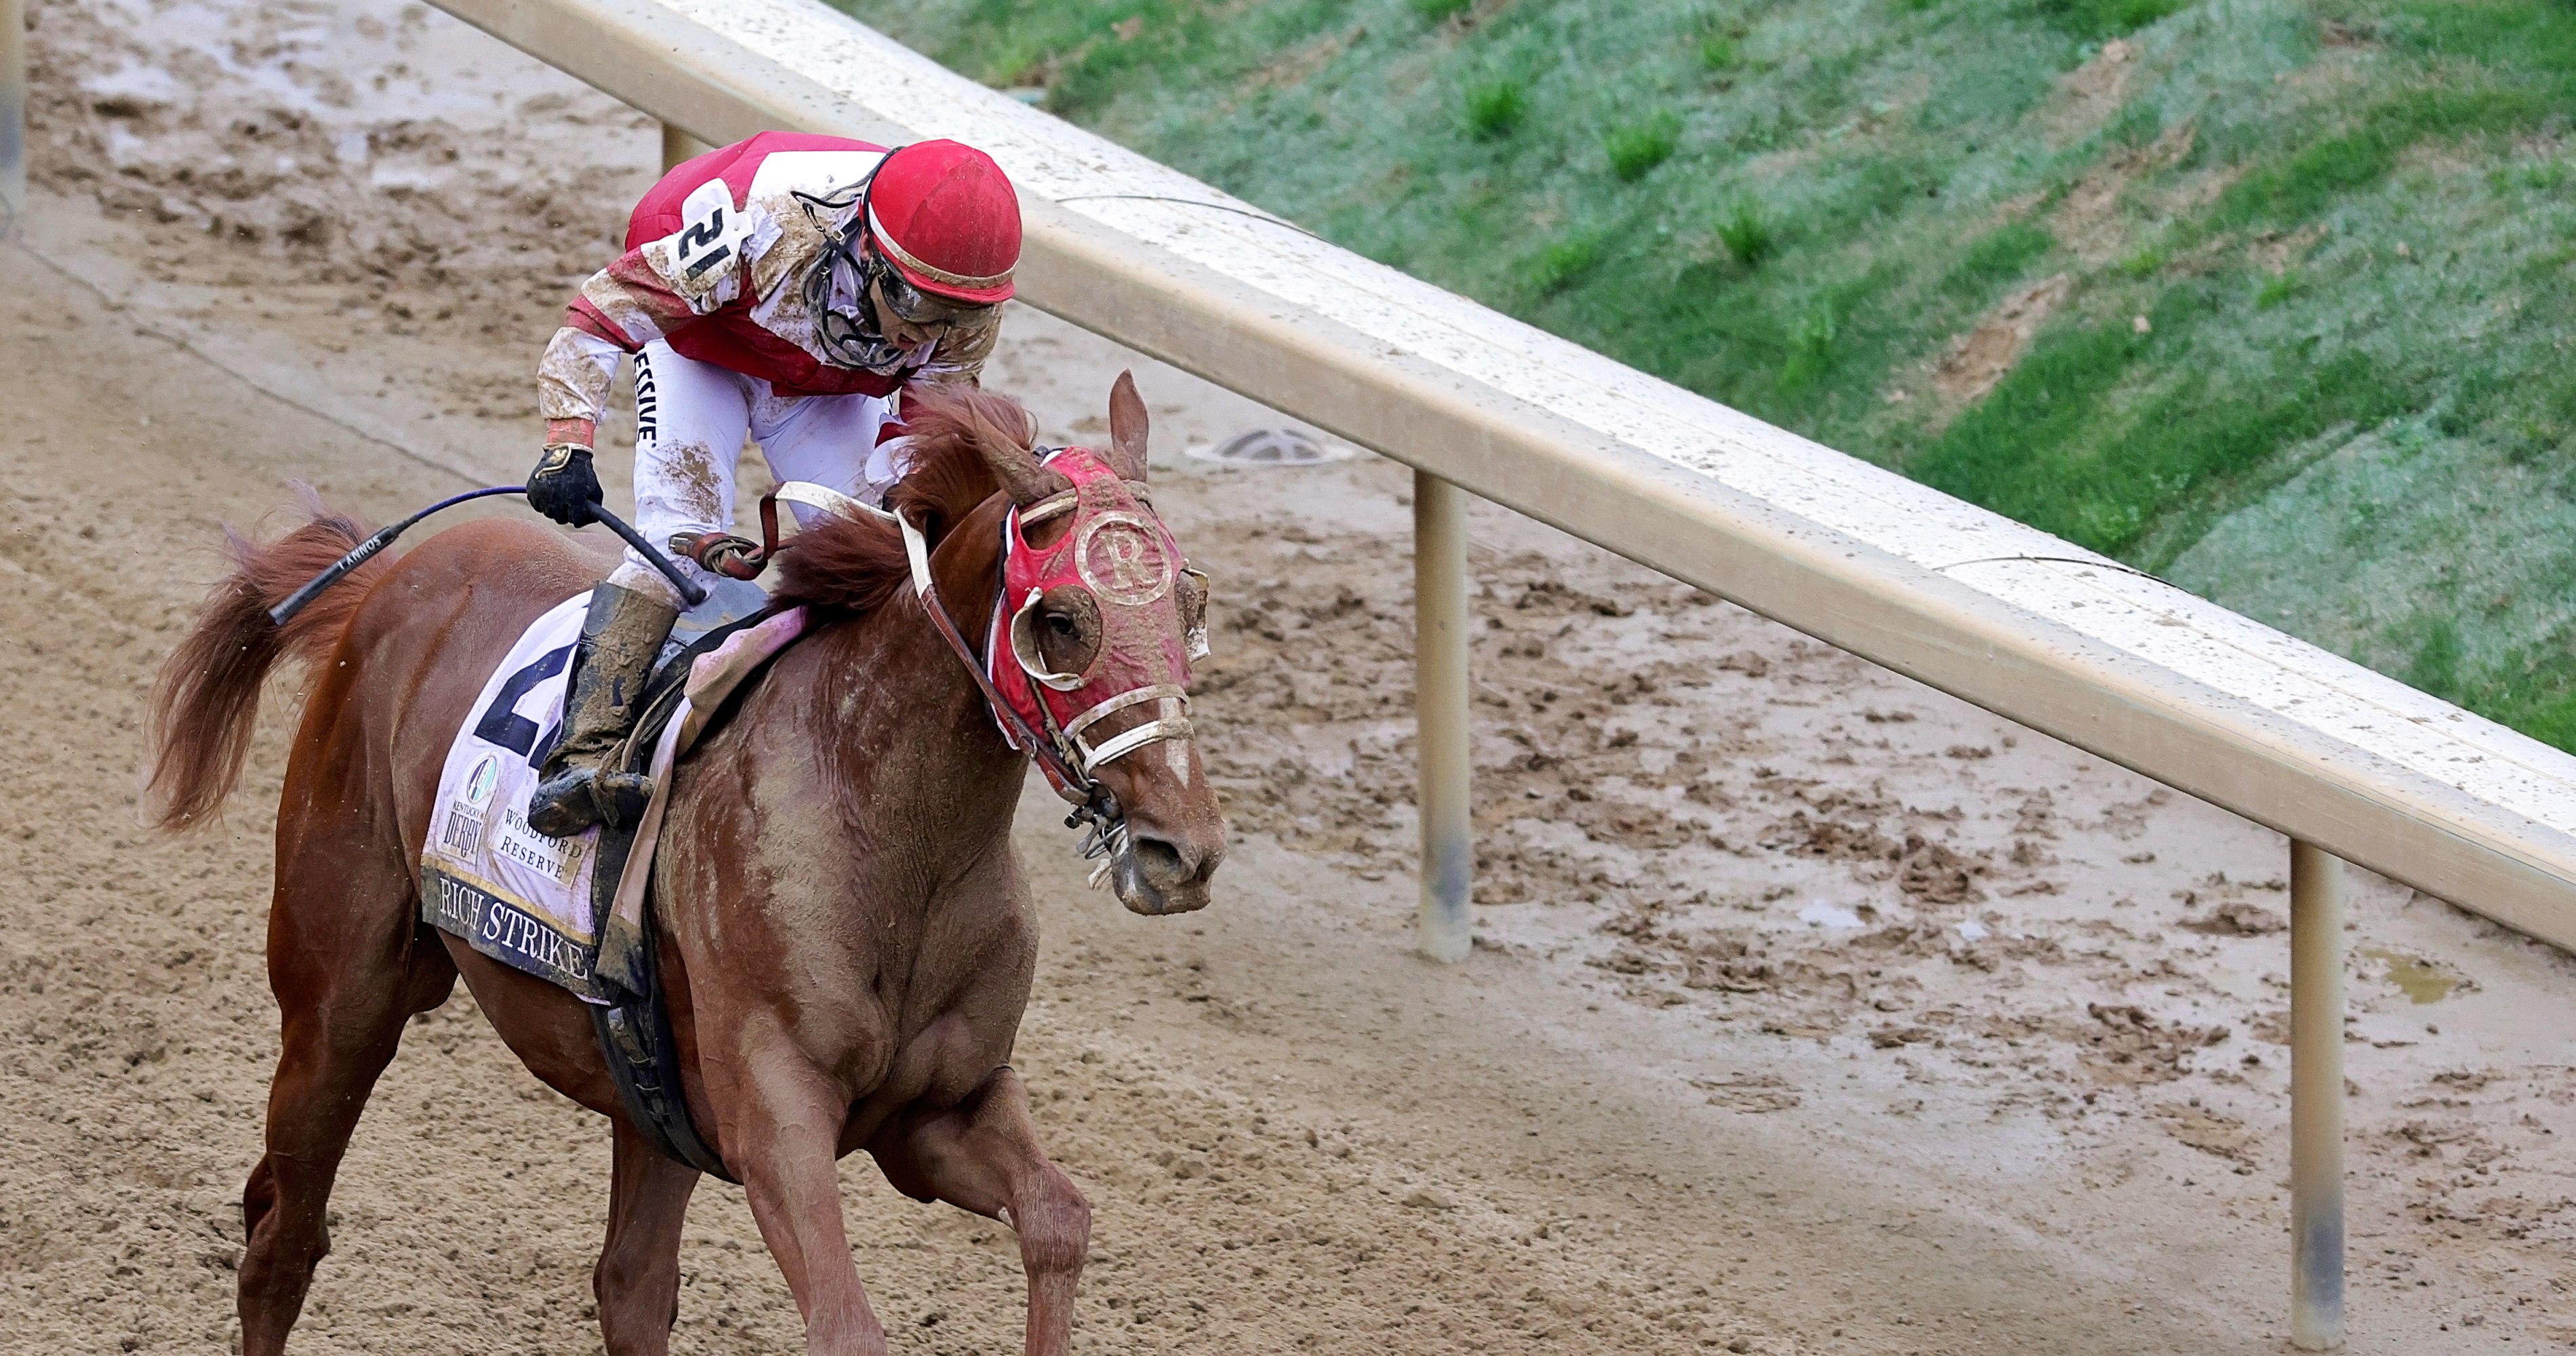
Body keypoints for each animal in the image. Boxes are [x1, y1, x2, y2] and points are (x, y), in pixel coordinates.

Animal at [141, 376, 1226, 1351]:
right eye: (1059, 619)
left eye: (1187, 600)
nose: (1184, 851)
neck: (895, 840)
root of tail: (383, 581)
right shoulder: (777, 1118)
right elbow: (847, 1326)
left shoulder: (935, 1112)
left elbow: (1057, 1219)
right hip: (341, 993)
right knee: (284, 1237)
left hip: (645, 1088)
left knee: (629, 1284)